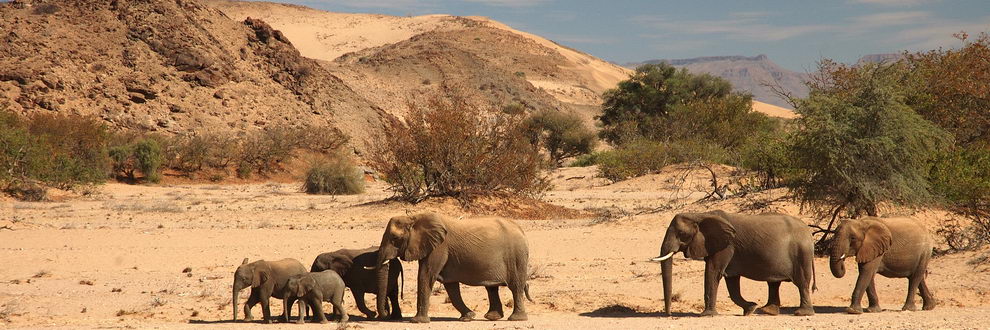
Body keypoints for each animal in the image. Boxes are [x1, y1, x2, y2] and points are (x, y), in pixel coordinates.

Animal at [368, 213, 536, 324]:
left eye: (395, 238)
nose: (385, 313)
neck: (414, 217)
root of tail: (520, 229)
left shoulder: (439, 248)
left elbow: (426, 276)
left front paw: (417, 321)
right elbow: (451, 286)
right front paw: (468, 317)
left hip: (517, 256)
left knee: (516, 286)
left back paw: (516, 319)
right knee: (492, 288)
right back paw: (492, 317)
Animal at [656, 211, 816, 318]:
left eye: (682, 234)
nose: (669, 315)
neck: (700, 214)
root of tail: (809, 232)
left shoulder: (726, 246)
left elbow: (713, 272)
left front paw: (706, 315)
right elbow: (731, 281)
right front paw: (750, 309)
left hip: (802, 254)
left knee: (802, 283)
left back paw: (802, 313)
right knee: (774, 283)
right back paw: (766, 311)